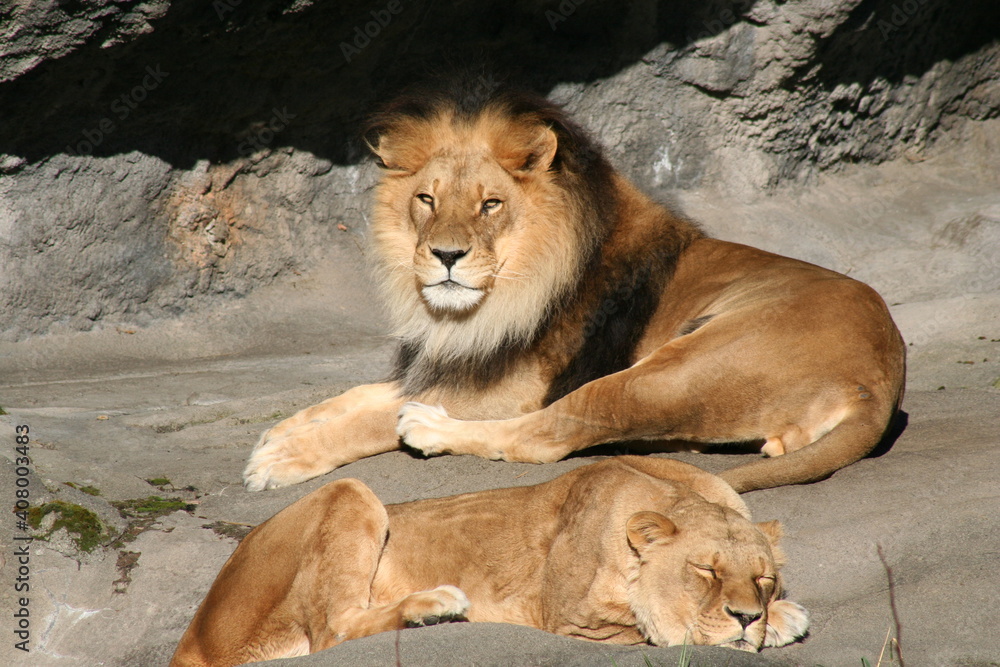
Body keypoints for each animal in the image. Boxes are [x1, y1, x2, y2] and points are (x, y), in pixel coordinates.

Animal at [172, 457, 809, 666]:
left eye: (764, 578)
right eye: (705, 571)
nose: (747, 615)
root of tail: (193, 634)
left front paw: (771, 618)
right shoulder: (574, 622)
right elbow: (659, 629)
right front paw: (774, 623)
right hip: (348, 491)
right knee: (333, 631)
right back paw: (437, 605)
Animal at [242, 81, 905, 493]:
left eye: (490, 205)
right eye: (426, 200)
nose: (446, 256)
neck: (483, 308)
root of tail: (878, 380)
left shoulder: (514, 388)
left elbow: (376, 417)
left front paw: (282, 458)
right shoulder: (459, 361)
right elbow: (359, 393)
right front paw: (285, 429)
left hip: (665, 373)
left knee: (546, 437)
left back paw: (429, 428)